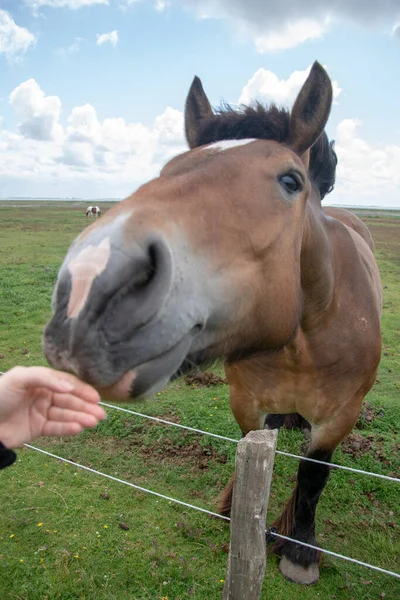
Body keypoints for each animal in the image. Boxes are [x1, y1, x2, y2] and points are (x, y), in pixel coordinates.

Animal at [43, 63, 382, 584]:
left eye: (291, 181)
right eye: (169, 169)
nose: (90, 289)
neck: (304, 341)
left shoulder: (339, 416)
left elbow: (313, 475)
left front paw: (301, 549)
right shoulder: (246, 400)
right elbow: (249, 451)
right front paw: (235, 508)